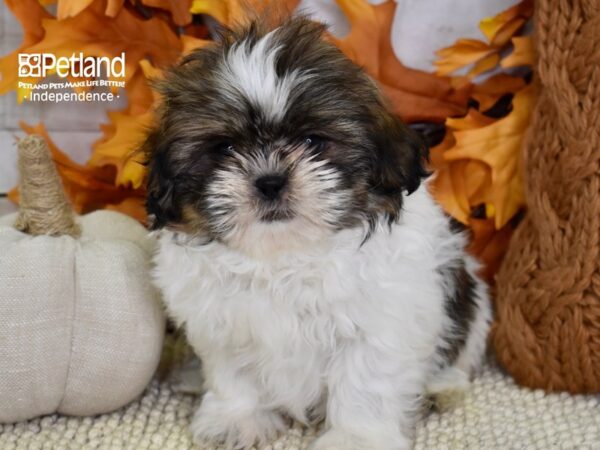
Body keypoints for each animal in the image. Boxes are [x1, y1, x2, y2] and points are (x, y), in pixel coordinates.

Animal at [144, 14, 488, 450]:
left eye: (313, 141)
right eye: (224, 149)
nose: (270, 181)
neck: (284, 257)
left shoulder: (380, 324)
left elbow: (364, 384)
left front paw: (355, 437)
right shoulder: (221, 322)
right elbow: (233, 374)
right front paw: (237, 418)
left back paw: (442, 389)